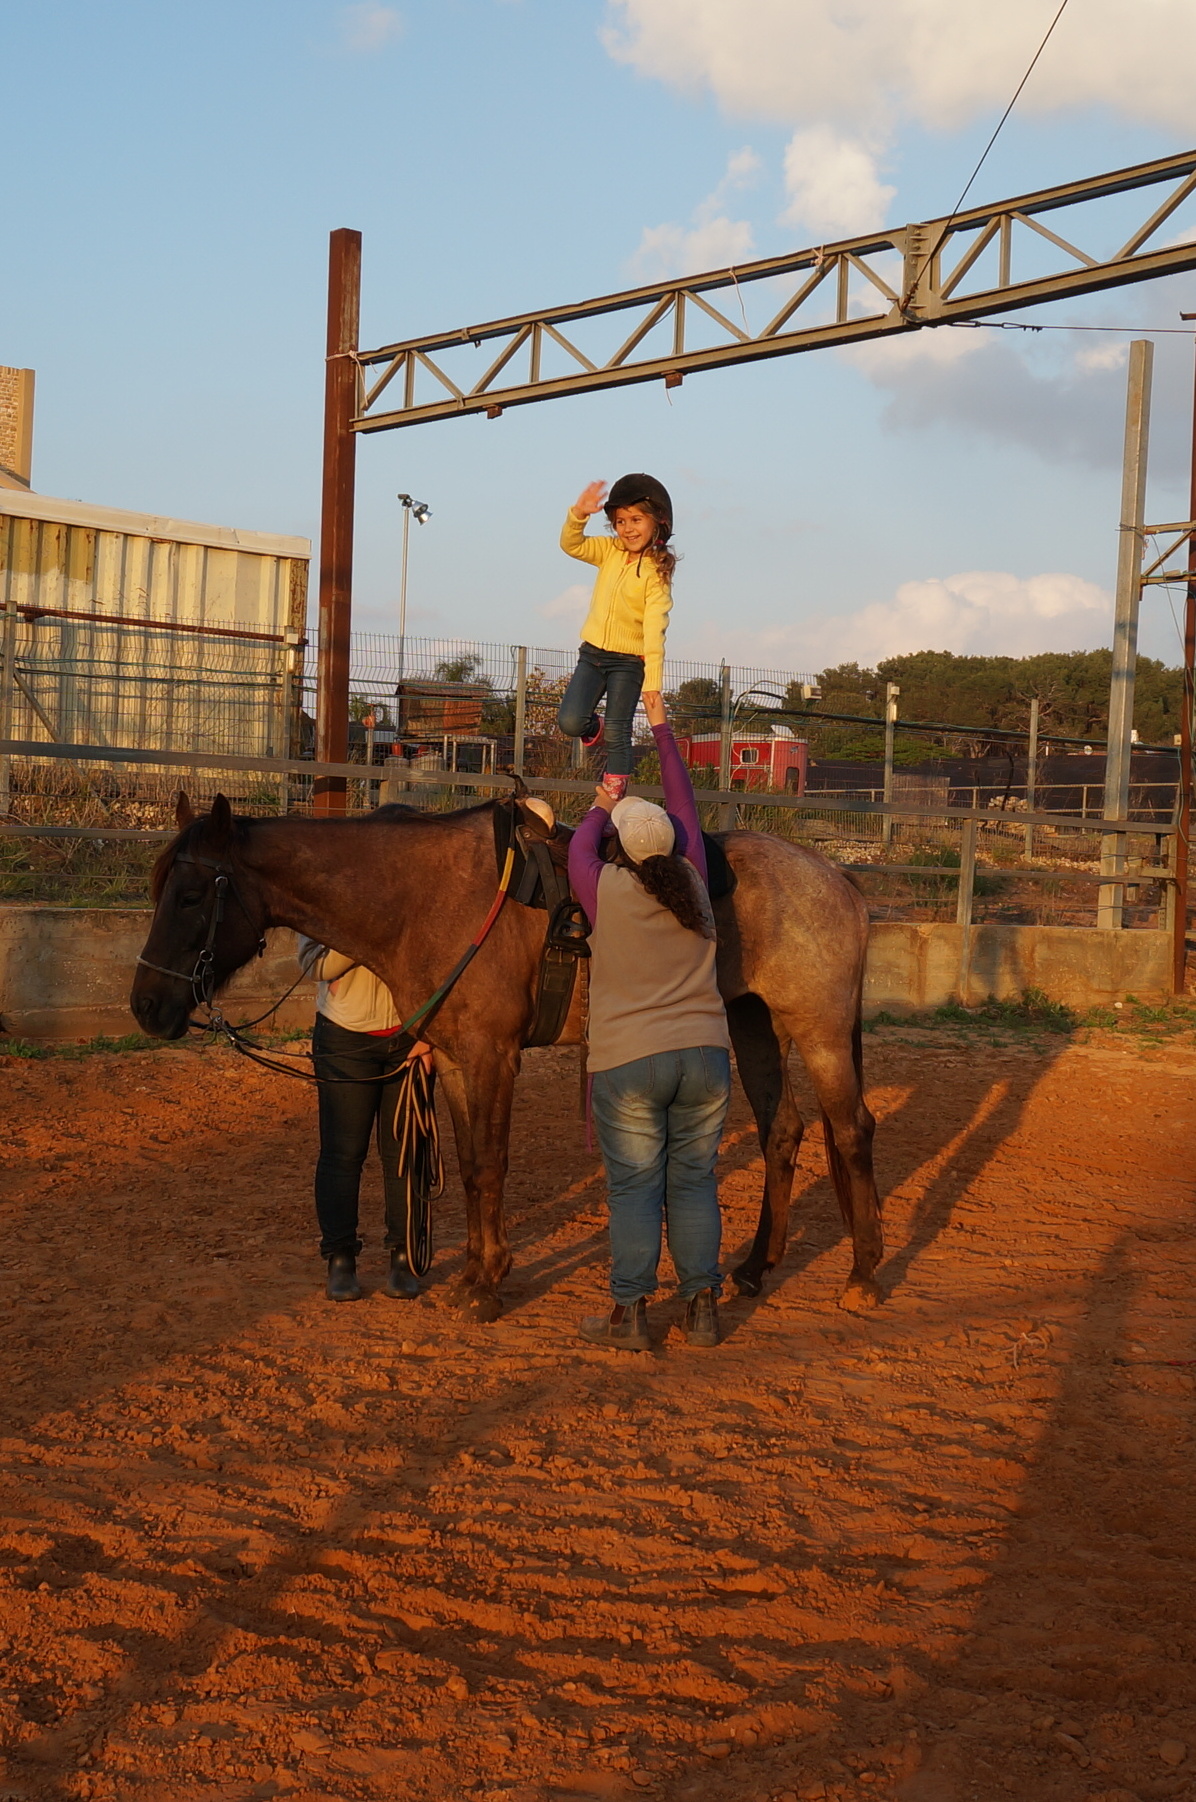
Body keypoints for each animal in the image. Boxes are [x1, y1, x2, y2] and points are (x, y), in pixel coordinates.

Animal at [130, 792, 883, 1322]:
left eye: (191, 894)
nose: (145, 1005)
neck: (426, 900)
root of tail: (836, 876)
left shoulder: (494, 1057)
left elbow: (489, 1166)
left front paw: (486, 1288)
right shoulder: (455, 1060)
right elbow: (467, 1169)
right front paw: (475, 1272)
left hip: (817, 1031)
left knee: (851, 1132)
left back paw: (863, 1275)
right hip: (754, 1023)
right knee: (782, 1131)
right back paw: (755, 1268)